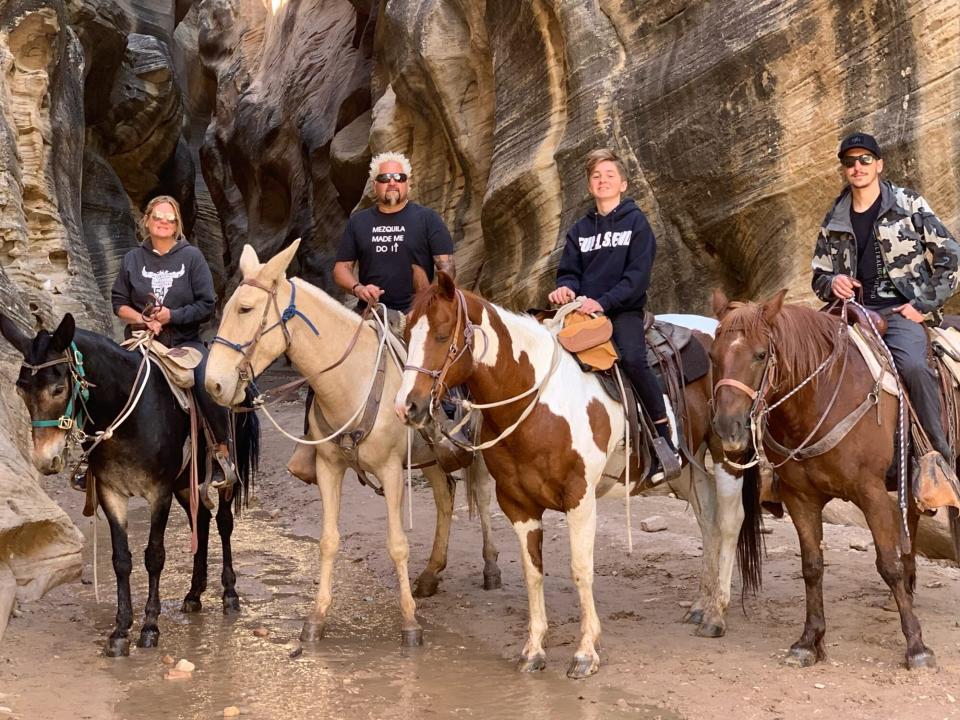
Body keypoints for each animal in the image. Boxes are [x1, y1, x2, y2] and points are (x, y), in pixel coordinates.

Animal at [394, 272, 752, 676]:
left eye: (442, 335)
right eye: (407, 333)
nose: (407, 406)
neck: (537, 401)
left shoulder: (579, 498)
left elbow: (581, 569)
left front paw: (585, 652)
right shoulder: (516, 503)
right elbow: (533, 572)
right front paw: (534, 649)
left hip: (726, 449)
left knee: (728, 522)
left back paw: (717, 612)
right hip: (688, 466)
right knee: (708, 521)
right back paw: (701, 605)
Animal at [708, 290, 932, 672]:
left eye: (760, 354)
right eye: (713, 354)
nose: (728, 428)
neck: (820, 398)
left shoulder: (871, 492)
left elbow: (887, 565)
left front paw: (916, 646)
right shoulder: (800, 497)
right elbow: (812, 567)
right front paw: (809, 641)